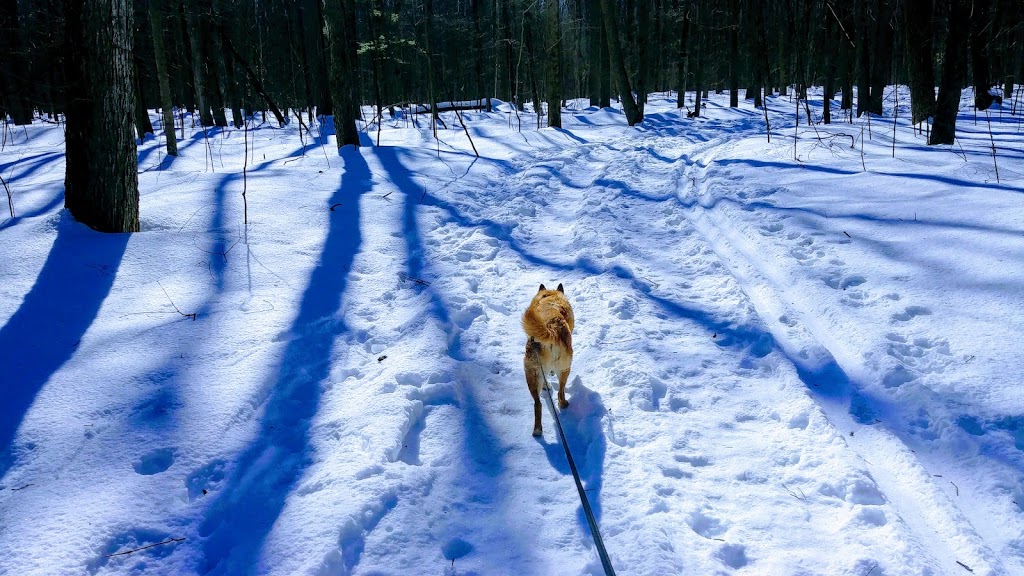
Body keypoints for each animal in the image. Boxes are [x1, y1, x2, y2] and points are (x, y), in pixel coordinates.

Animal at [524, 282, 573, 434]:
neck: (549, 297)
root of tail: (551, 329)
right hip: (565, 368)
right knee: (561, 392)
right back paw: (563, 404)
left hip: (532, 372)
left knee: (537, 403)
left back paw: (537, 430)